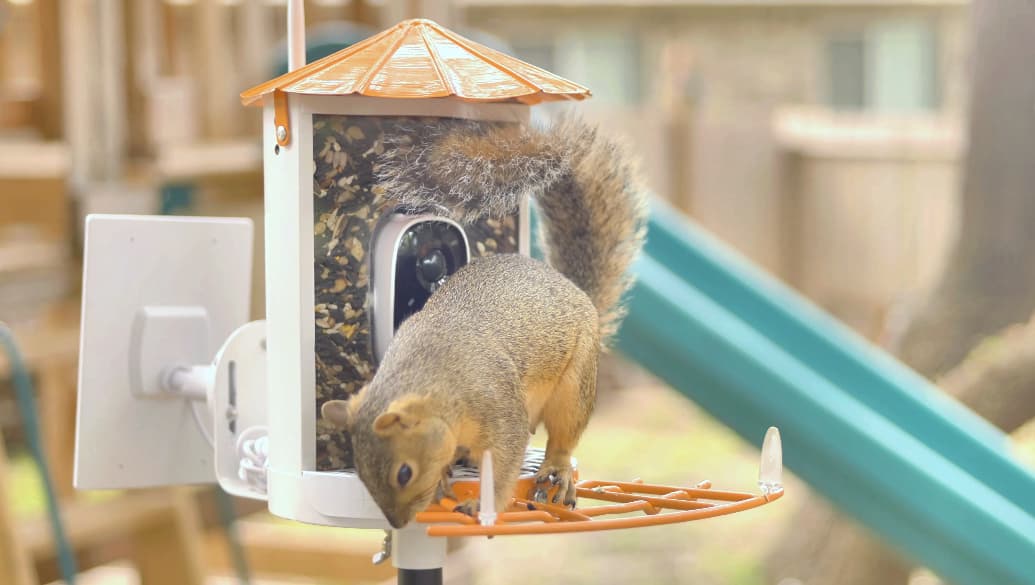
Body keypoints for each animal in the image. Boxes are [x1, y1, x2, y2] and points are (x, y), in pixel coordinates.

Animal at [322, 115, 645, 530]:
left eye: (404, 472)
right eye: (360, 473)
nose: (397, 524)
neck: (439, 381)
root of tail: (575, 290)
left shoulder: (498, 408)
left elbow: (504, 465)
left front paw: (482, 504)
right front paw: (445, 473)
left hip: (575, 384)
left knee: (563, 436)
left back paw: (557, 470)